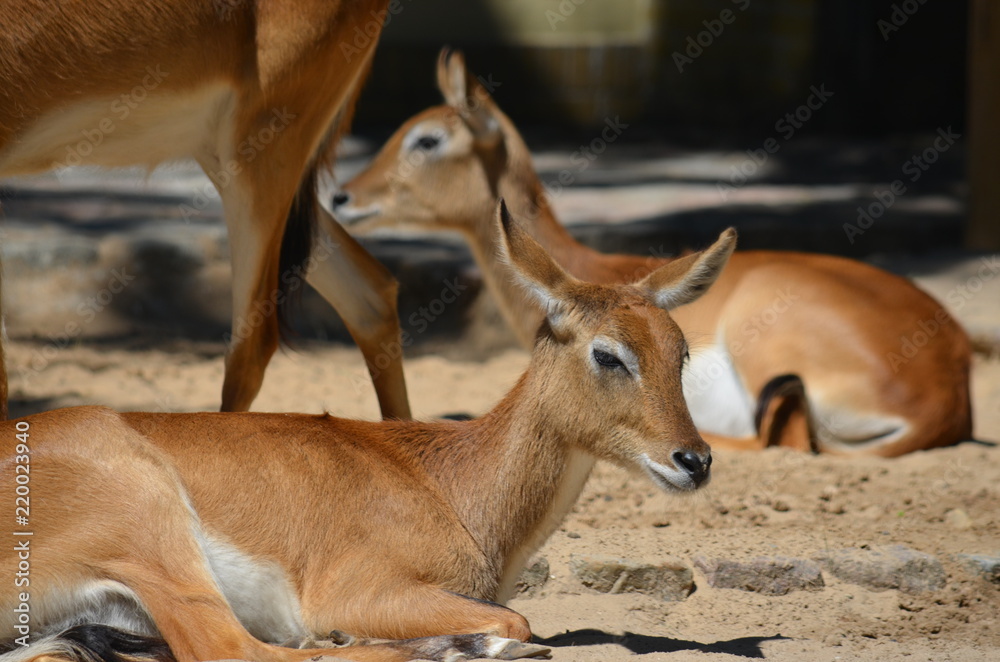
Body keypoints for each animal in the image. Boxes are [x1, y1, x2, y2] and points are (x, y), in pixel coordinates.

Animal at [0, 202, 736, 662]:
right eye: (608, 354)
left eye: (681, 351)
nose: (693, 459)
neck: (450, 483)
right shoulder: (362, 589)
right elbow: (515, 615)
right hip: (154, 529)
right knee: (232, 649)